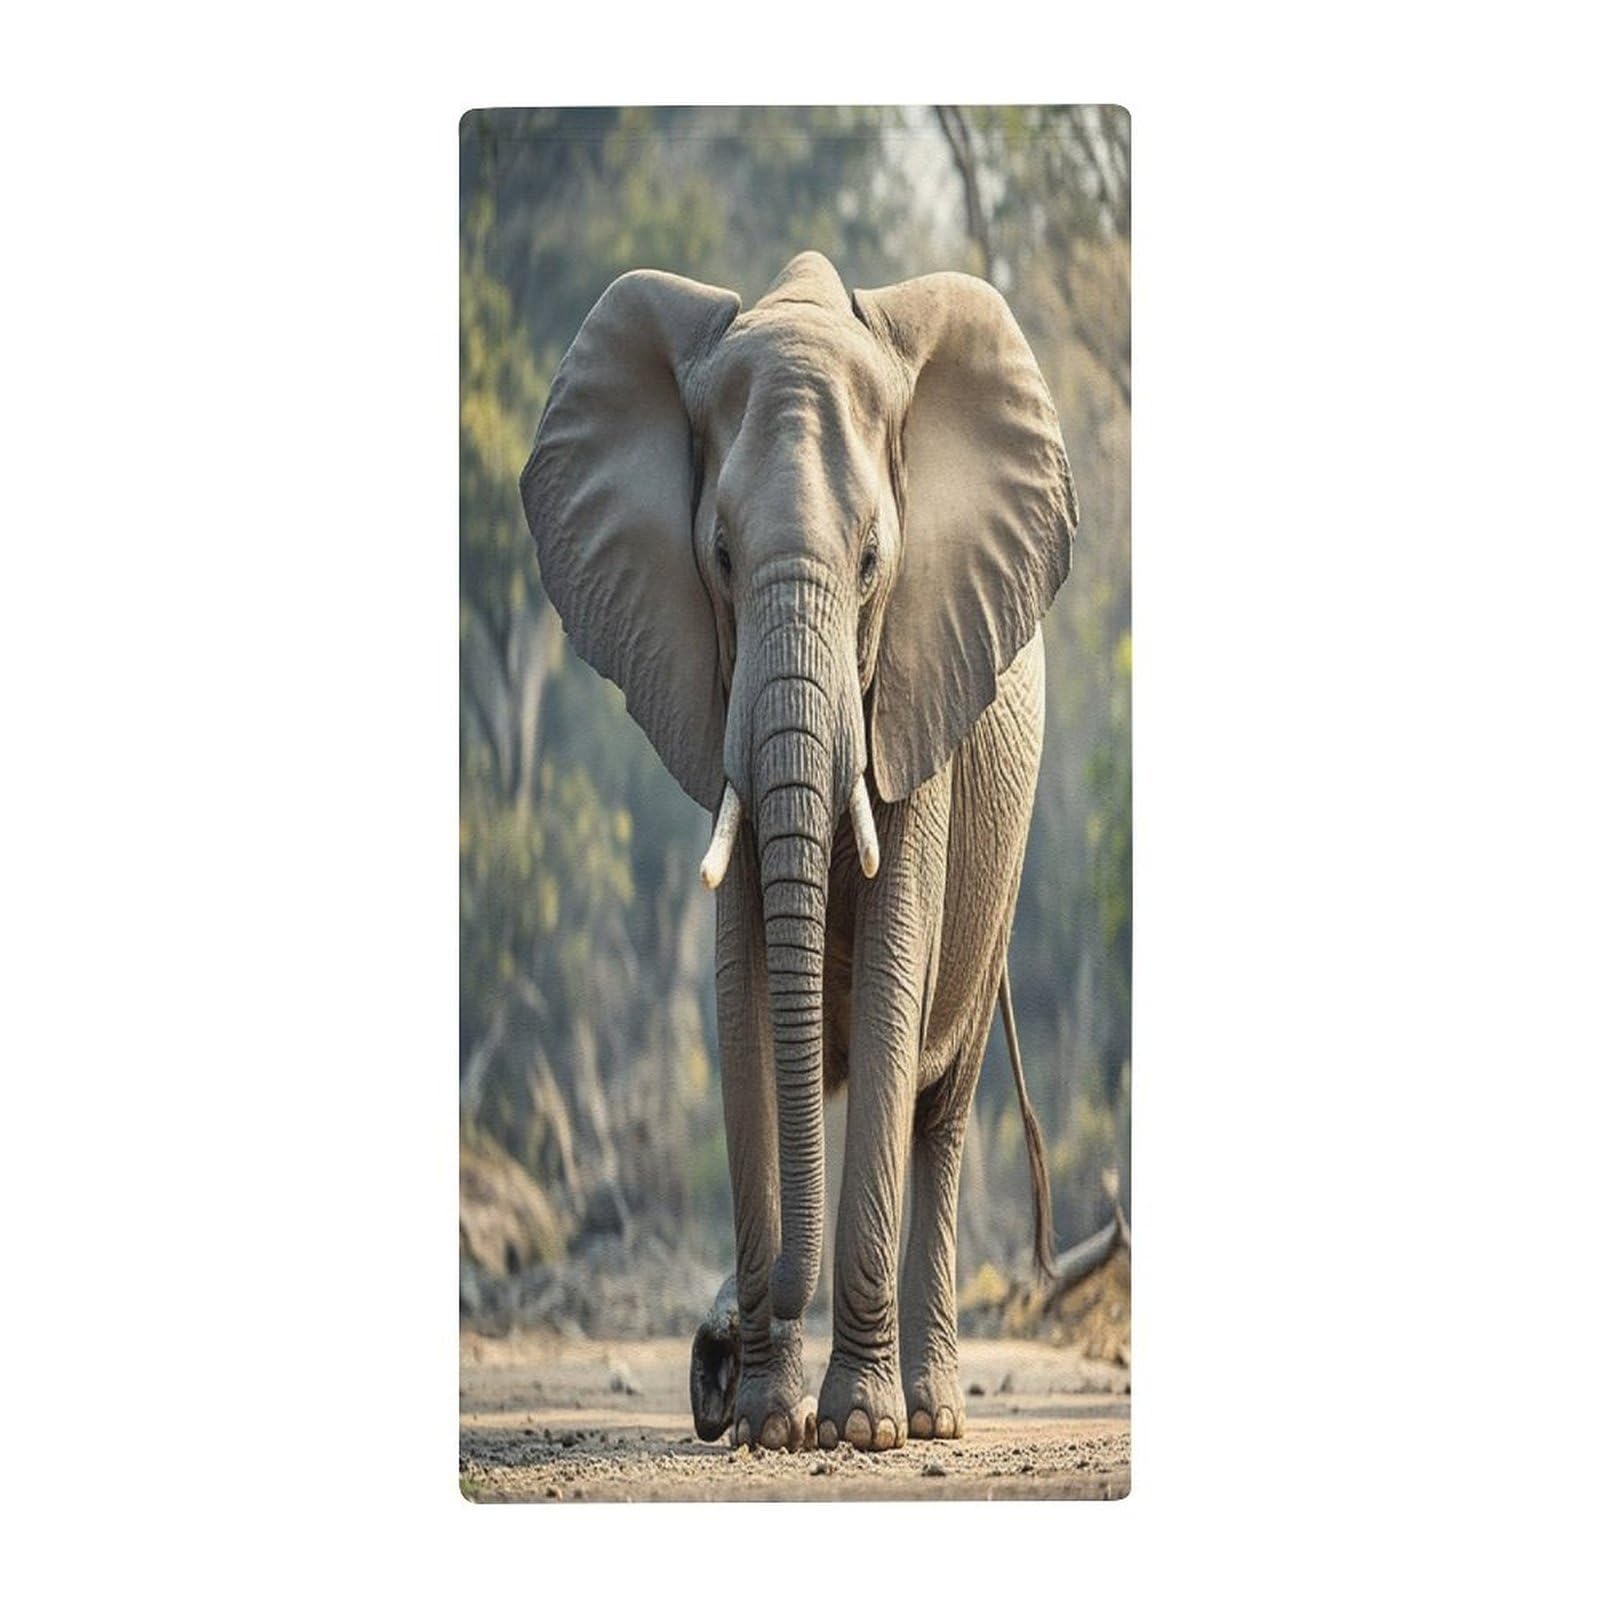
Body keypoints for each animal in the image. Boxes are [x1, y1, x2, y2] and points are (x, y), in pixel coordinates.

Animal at [521, 250, 1077, 1452]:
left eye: (872, 562)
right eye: (720, 558)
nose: (713, 1353)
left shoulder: (918, 686)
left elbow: (892, 979)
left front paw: (857, 1430)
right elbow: (742, 1001)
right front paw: (773, 1426)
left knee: (938, 1109)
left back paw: (931, 1415)